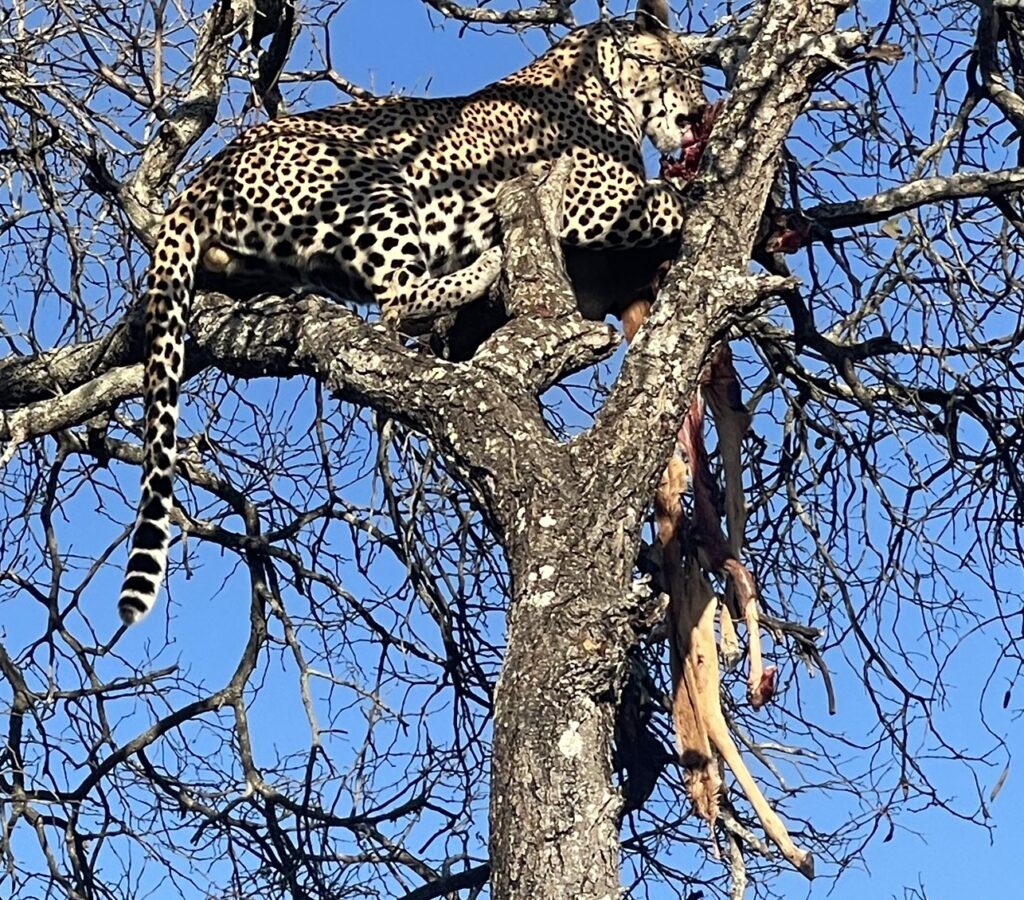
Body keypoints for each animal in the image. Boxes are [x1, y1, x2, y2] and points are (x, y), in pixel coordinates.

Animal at [117, 0, 704, 622]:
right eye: (683, 69)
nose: (698, 110)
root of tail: (200, 178)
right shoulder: (597, 198)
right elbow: (668, 200)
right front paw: (713, 190)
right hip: (372, 185)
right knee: (397, 301)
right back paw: (488, 259)